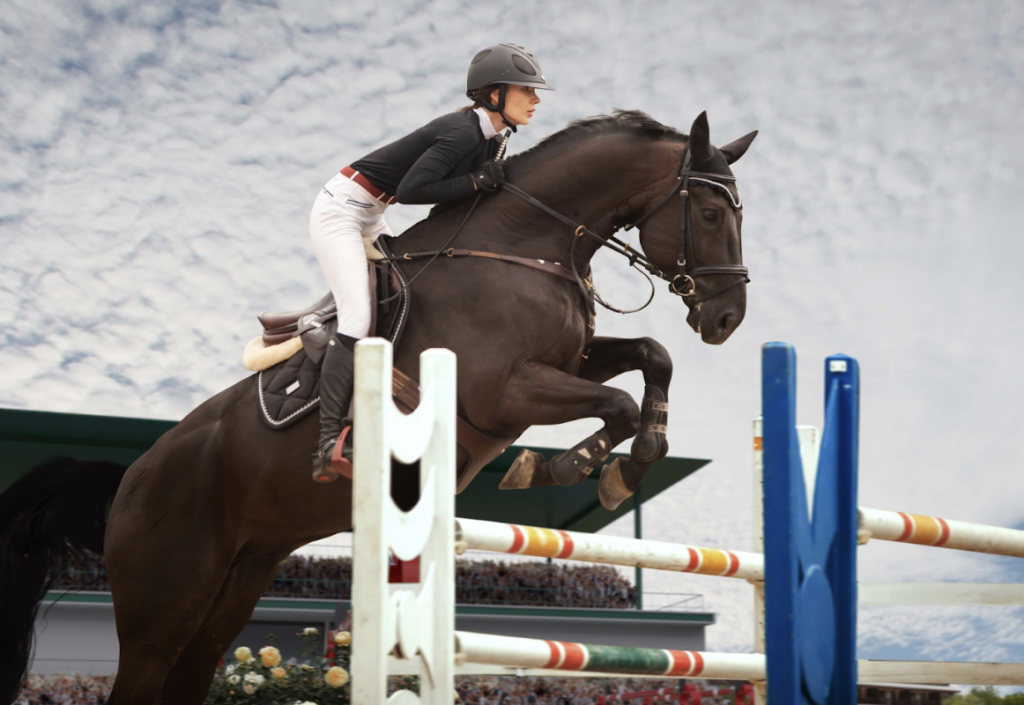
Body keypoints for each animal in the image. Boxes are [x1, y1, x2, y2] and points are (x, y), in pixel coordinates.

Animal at [0, 109, 755, 704]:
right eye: (711, 213)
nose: (727, 319)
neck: (526, 244)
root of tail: (129, 474)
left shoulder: (567, 360)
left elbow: (652, 357)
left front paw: (634, 459)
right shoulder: (503, 389)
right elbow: (617, 403)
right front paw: (570, 468)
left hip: (234, 584)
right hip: (163, 604)